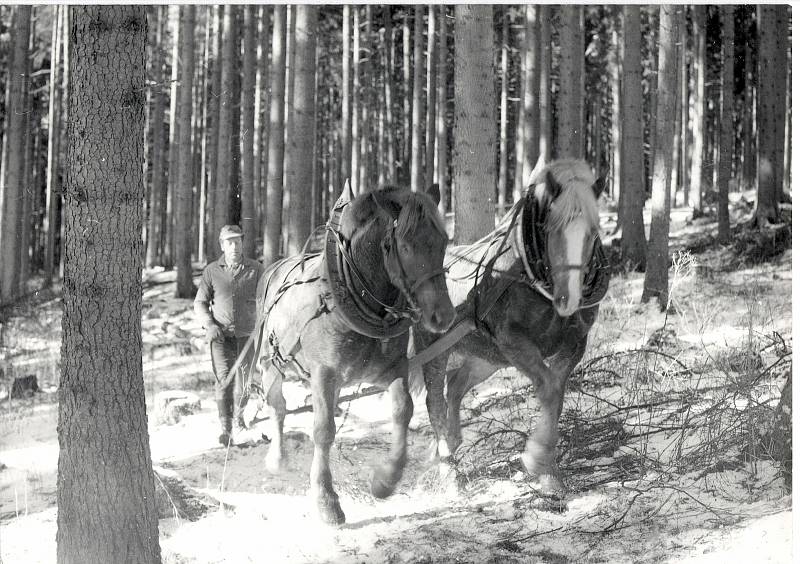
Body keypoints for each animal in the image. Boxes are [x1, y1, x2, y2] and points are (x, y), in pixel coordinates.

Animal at [256, 183, 456, 528]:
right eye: (404, 245)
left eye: (443, 241)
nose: (443, 316)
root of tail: (275, 267)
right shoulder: (324, 373)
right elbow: (323, 431)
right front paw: (326, 501)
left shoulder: (394, 368)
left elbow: (403, 410)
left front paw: (385, 480)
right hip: (273, 363)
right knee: (278, 406)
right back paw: (277, 458)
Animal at [412, 159, 608, 498]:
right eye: (549, 228)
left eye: (594, 231)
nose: (568, 299)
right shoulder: (514, 342)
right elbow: (549, 388)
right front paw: (538, 461)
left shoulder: (574, 344)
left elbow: (557, 394)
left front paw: (549, 472)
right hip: (434, 349)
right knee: (435, 401)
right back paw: (448, 471)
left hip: (486, 357)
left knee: (457, 386)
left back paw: (452, 441)